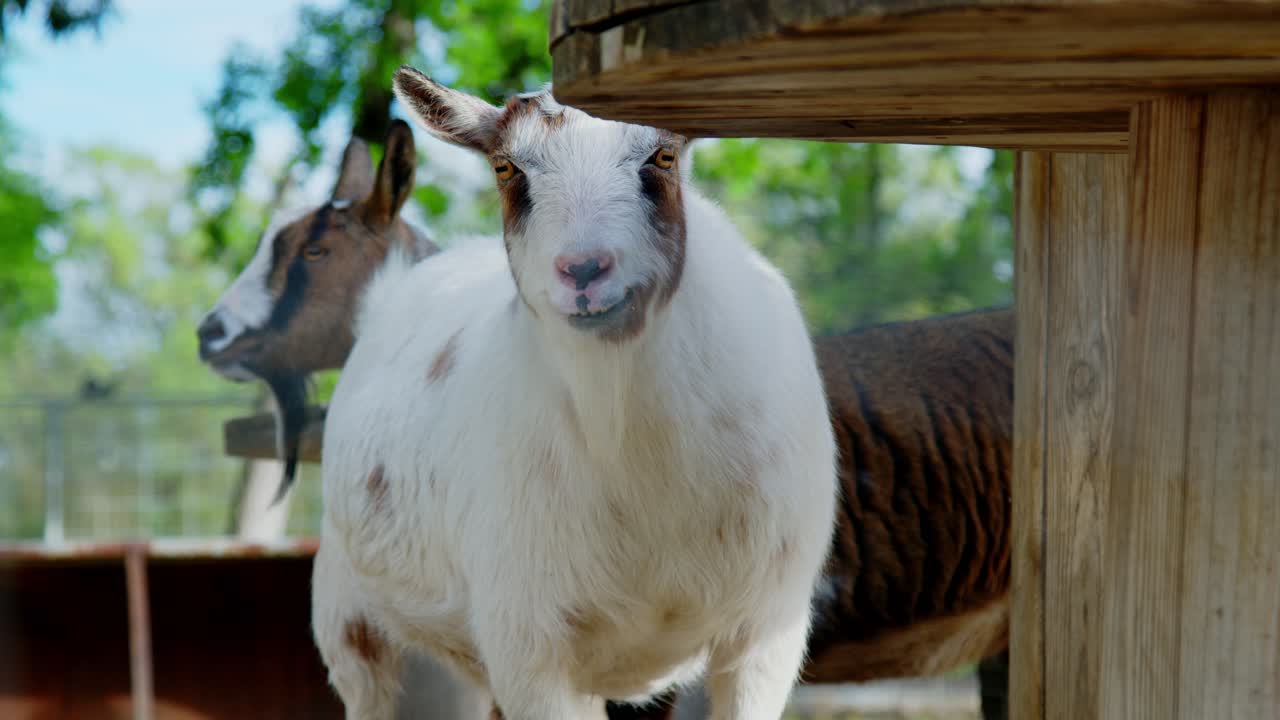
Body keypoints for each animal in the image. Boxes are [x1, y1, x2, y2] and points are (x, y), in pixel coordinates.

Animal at [309, 68, 839, 720]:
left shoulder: (767, 630)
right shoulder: (526, 640)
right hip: (355, 626)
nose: (583, 270)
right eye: (506, 167)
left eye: (664, 156)